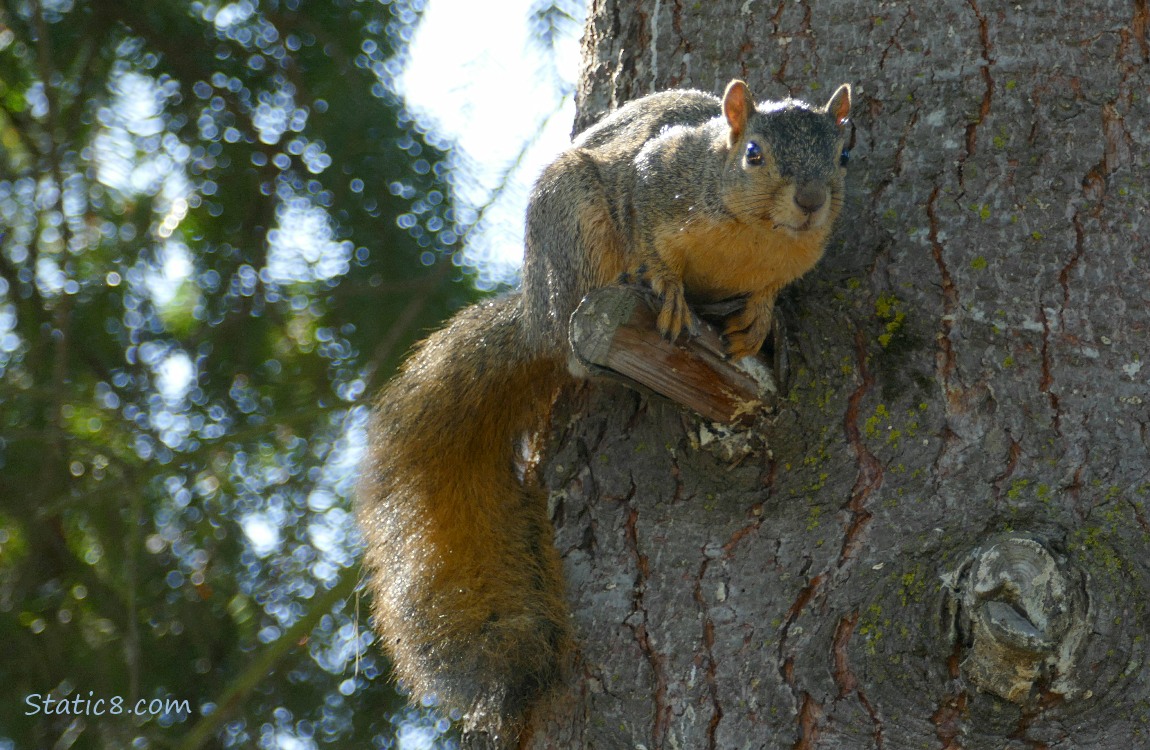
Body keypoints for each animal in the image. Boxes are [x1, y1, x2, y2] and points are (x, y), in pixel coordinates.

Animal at [358, 77, 855, 745]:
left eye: (843, 157)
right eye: (754, 154)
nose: (809, 201)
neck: (754, 236)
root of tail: (536, 312)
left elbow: (769, 290)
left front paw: (762, 313)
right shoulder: (655, 178)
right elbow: (647, 233)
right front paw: (668, 287)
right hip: (574, 227)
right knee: (574, 352)